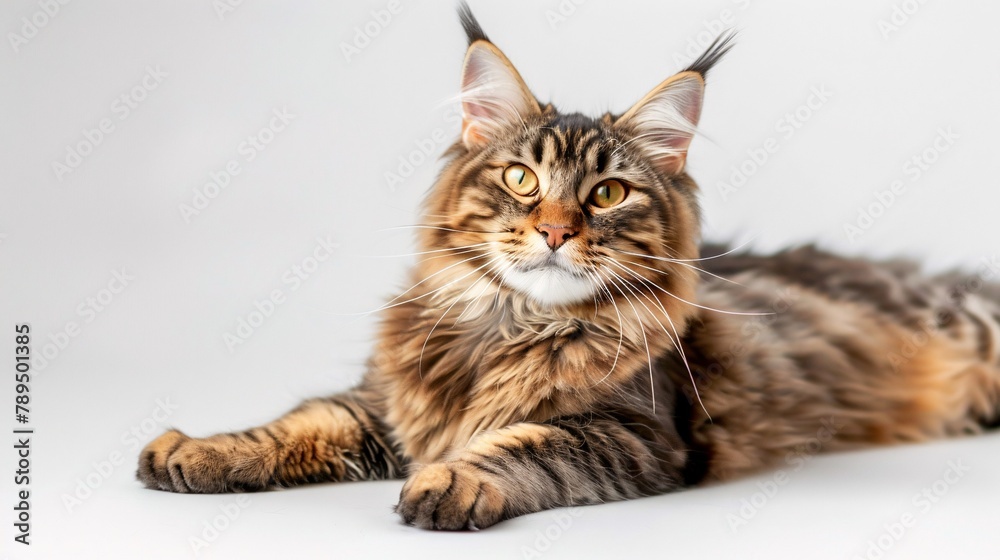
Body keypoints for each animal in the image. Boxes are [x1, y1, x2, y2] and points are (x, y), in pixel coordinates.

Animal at [135, 3, 1000, 528]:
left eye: (608, 193)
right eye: (523, 180)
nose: (554, 230)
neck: (508, 325)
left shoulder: (635, 429)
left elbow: (526, 443)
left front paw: (455, 480)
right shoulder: (386, 405)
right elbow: (296, 421)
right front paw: (198, 449)